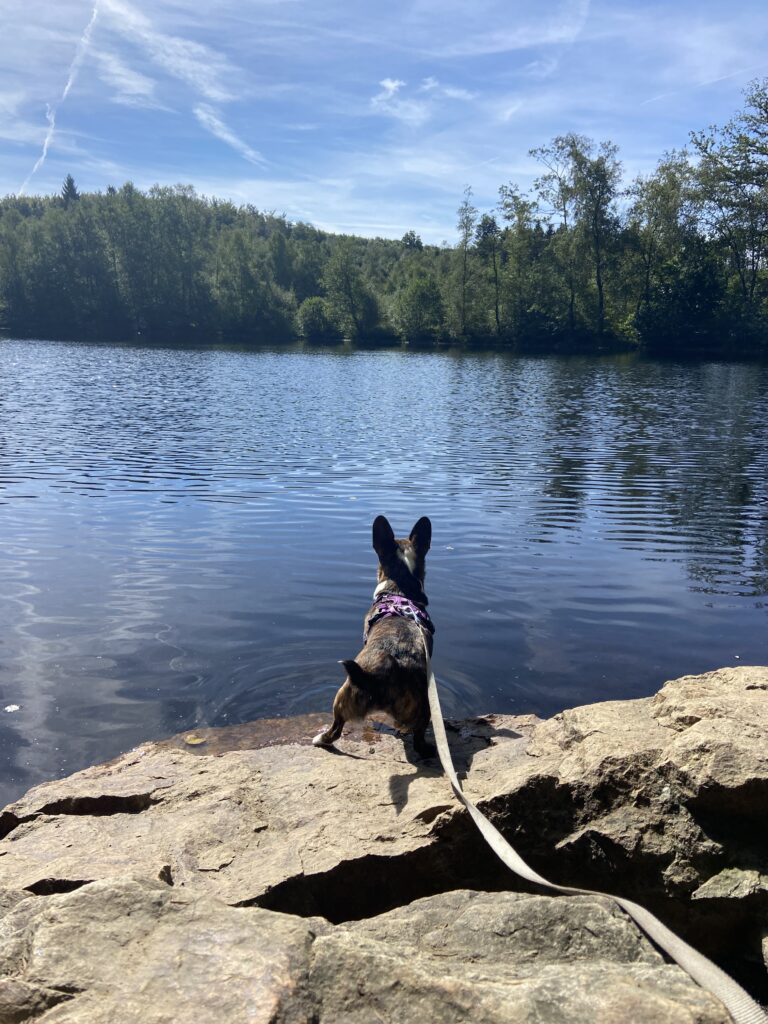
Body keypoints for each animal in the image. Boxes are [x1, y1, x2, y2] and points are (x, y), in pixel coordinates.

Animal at [311, 516, 434, 757]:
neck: (400, 590)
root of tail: (385, 672)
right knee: (418, 738)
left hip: (344, 695)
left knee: (336, 728)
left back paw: (321, 739)